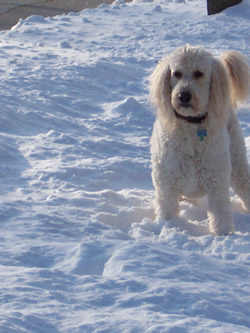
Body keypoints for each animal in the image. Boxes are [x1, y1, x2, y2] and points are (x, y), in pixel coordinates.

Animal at [149, 44, 249, 235]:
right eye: (176, 73)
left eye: (199, 73)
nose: (183, 96)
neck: (191, 125)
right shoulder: (167, 180)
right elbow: (167, 208)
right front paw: (169, 226)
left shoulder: (216, 180)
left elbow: (220, 212)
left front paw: (223, 235)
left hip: (237, 160)